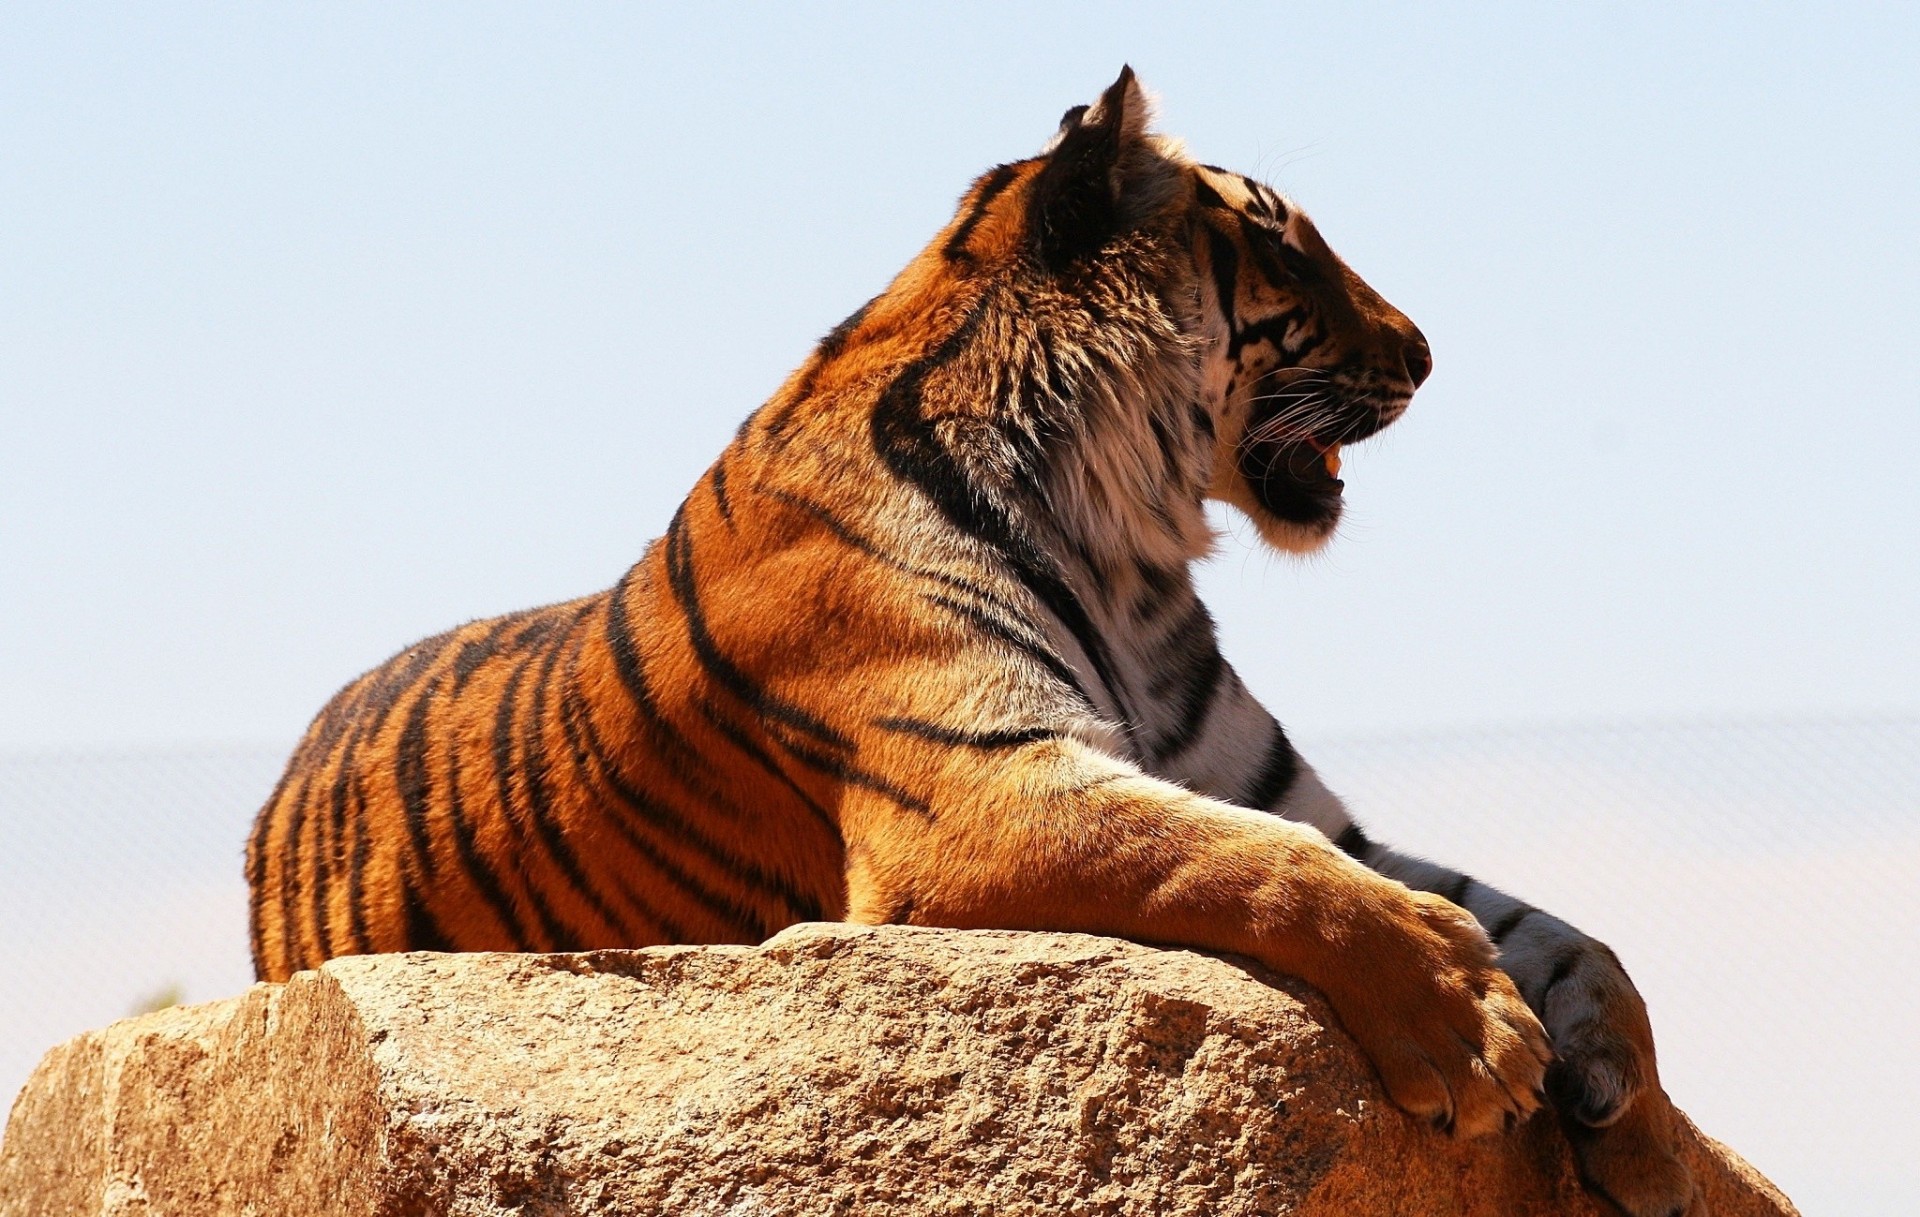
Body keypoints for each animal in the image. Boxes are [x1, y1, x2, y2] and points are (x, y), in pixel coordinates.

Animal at [247, 68, 1694, 1216]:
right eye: (1288, 252)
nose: (1428, 352)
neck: (1131, 546)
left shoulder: (1291, 798)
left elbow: (1561, 930)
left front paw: (1650, 1140)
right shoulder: (974, 786)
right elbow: (1251, 868)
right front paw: (1469, 1031)